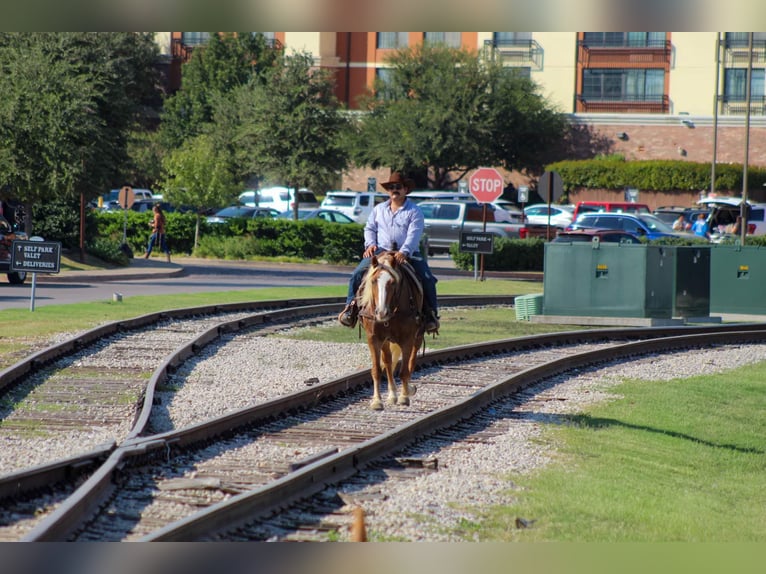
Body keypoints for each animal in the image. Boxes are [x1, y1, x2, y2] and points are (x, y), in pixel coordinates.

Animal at [358, 251, 426, 410]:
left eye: (393, 282)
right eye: (373, 281)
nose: (381, 312)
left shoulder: (407, 339)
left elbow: (404, 371)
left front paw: (404, 397)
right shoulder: (374, 338)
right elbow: (377, 370)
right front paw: (377, 401)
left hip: (418, 336)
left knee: (411, 361)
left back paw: (407, 390)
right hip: (385, 341)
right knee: (388, 362)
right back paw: (392, 394)